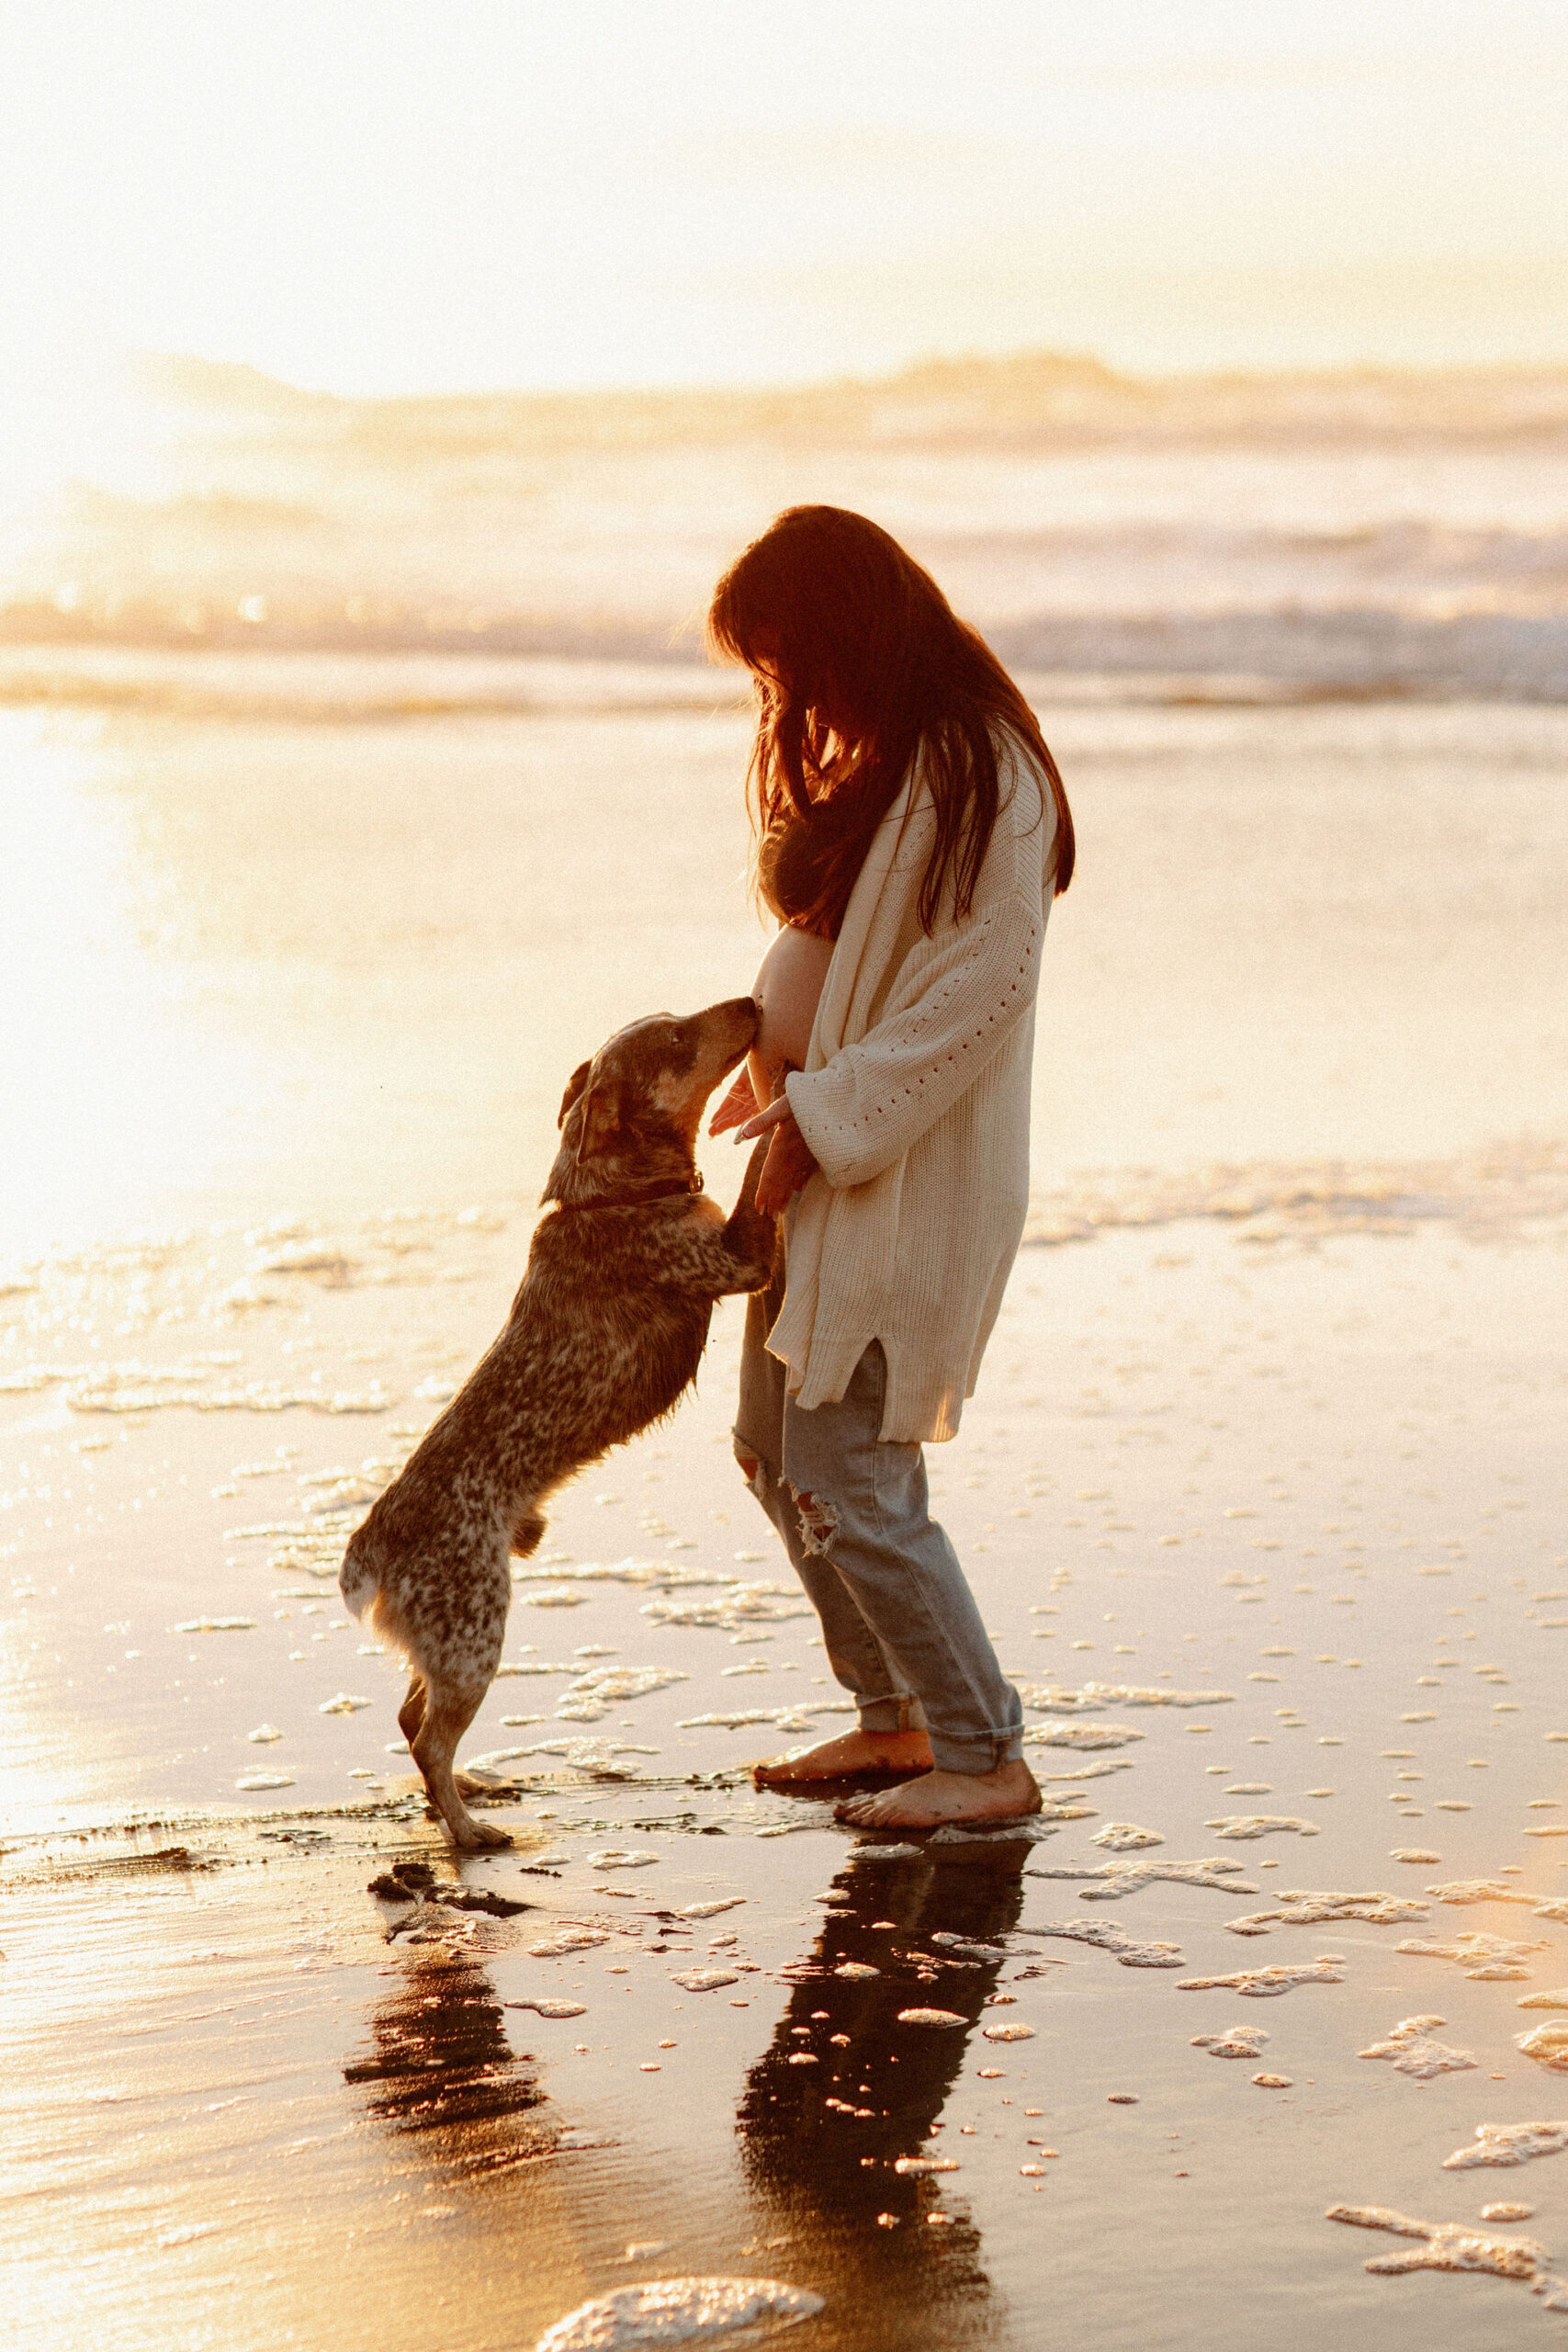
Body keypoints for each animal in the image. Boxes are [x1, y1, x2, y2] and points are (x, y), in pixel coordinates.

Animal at [345, 1001, 780, 1844]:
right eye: (676, 1038)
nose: (749, 1004)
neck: (608, 1195)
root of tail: (371, 1543)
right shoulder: (738, 1258)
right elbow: (757, 1179)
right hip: (475, 1634)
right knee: (431, 1738)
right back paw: (465, 1830)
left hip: (446, 1646)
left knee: (413, 1722)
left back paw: (470, 1793)